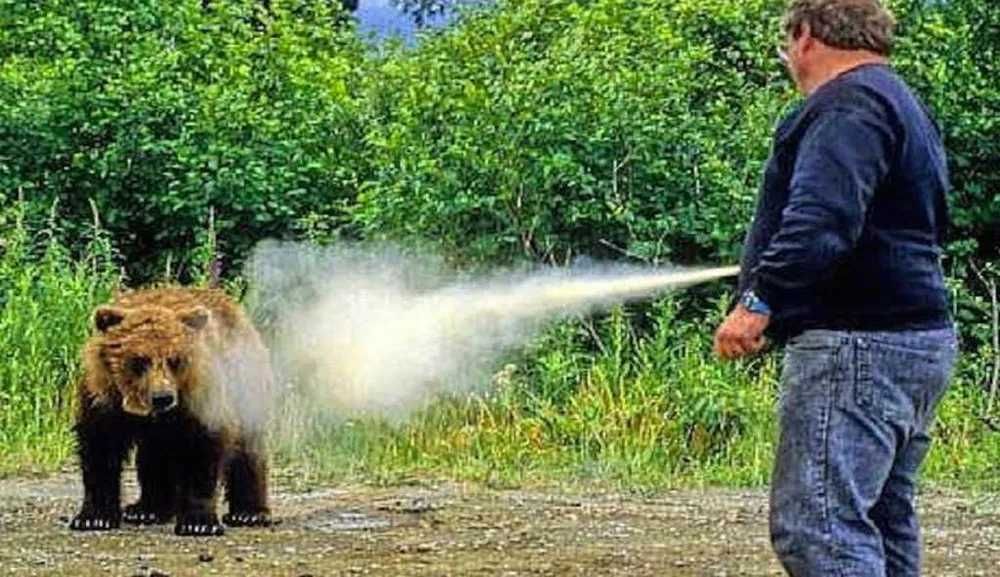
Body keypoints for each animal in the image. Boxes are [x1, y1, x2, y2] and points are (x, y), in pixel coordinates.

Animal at [69, 287, 273, 536]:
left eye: (175, 359)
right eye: (139, 360)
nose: (162, 397)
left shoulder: (202, 401)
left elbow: (202, 452)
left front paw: (198, 523)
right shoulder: (103, 398)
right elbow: (100, 451)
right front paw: (93, 518)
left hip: (244, 383)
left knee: (248, 447)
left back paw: (249, 513)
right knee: (154, 456)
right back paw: (146, 509)